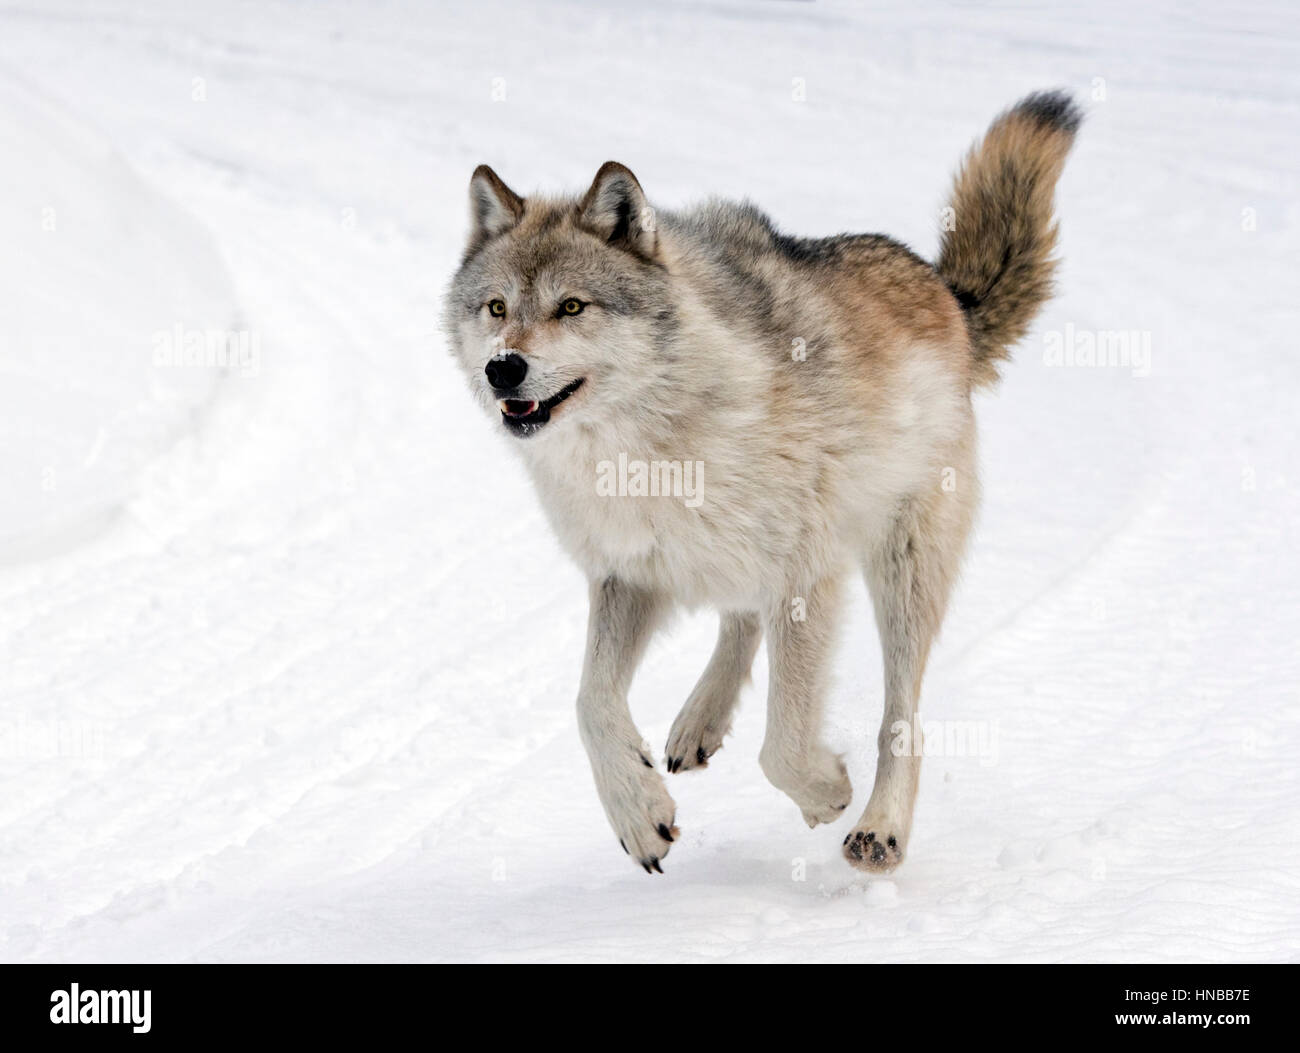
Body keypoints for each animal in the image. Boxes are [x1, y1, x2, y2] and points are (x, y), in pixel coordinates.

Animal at [443, 92, 1080, 874]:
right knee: (739, 620)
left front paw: (827, 792)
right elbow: (589, 704)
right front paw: (640, 815)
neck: (644, 446)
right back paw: (699, 721)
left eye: (571, 307)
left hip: (902, 568)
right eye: (497, 308)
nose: (503, 367)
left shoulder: (806, 578)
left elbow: (784, 744)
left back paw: (880, 829)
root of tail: (944, 292)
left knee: (902, 714)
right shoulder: (628, 574)